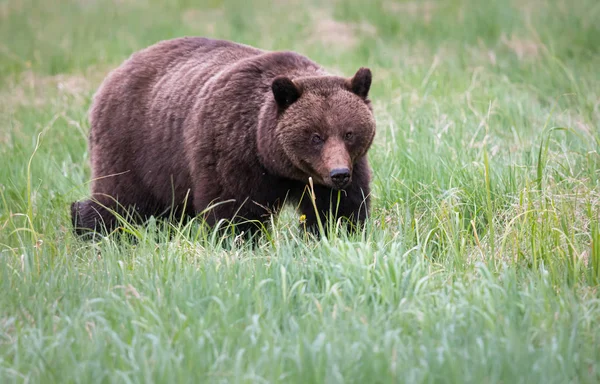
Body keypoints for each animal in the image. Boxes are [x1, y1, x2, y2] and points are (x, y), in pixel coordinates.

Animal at [71, 37, 376, 238]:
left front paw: (337, 232)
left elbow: (338, 209)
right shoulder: (233, 150)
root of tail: (116, 72)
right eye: (315, 136)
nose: (339, 173)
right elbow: (235, 210)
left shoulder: (345, 166)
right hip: (136, 143)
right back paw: (87, 224)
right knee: (122, 201)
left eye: (349, 133)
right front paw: (241, 240)